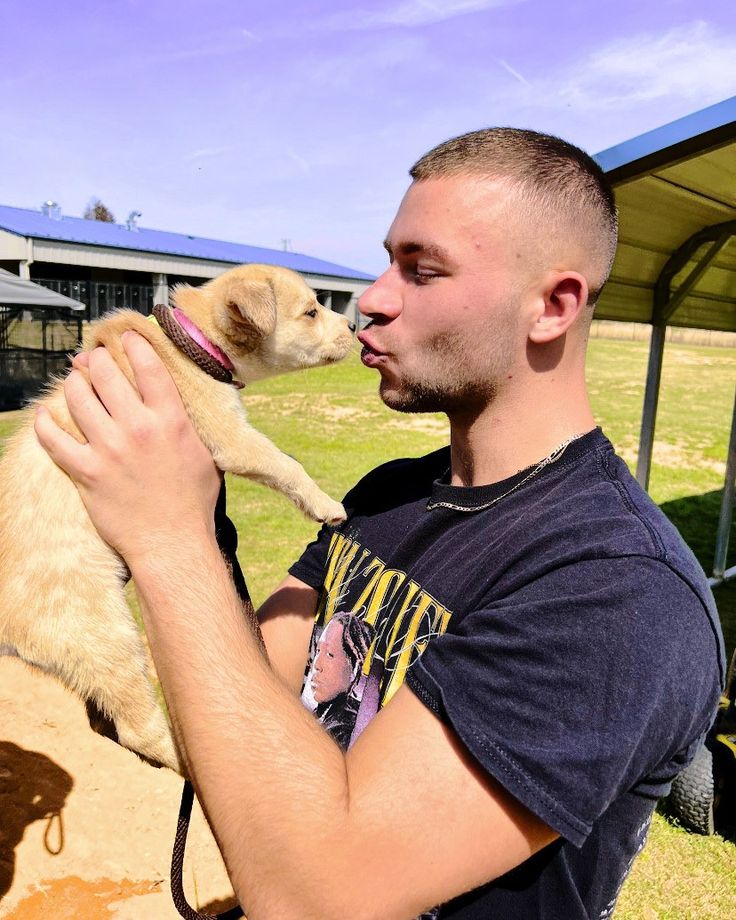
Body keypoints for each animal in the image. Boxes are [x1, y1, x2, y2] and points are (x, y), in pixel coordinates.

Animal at [0, 264, 356, 768]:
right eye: (310, 312)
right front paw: (326, 503)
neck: (195, 339)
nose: (355, 327)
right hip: (104, 634)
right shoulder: (231, 436)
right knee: (136, 728)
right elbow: (285, 463)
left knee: (104, 722)